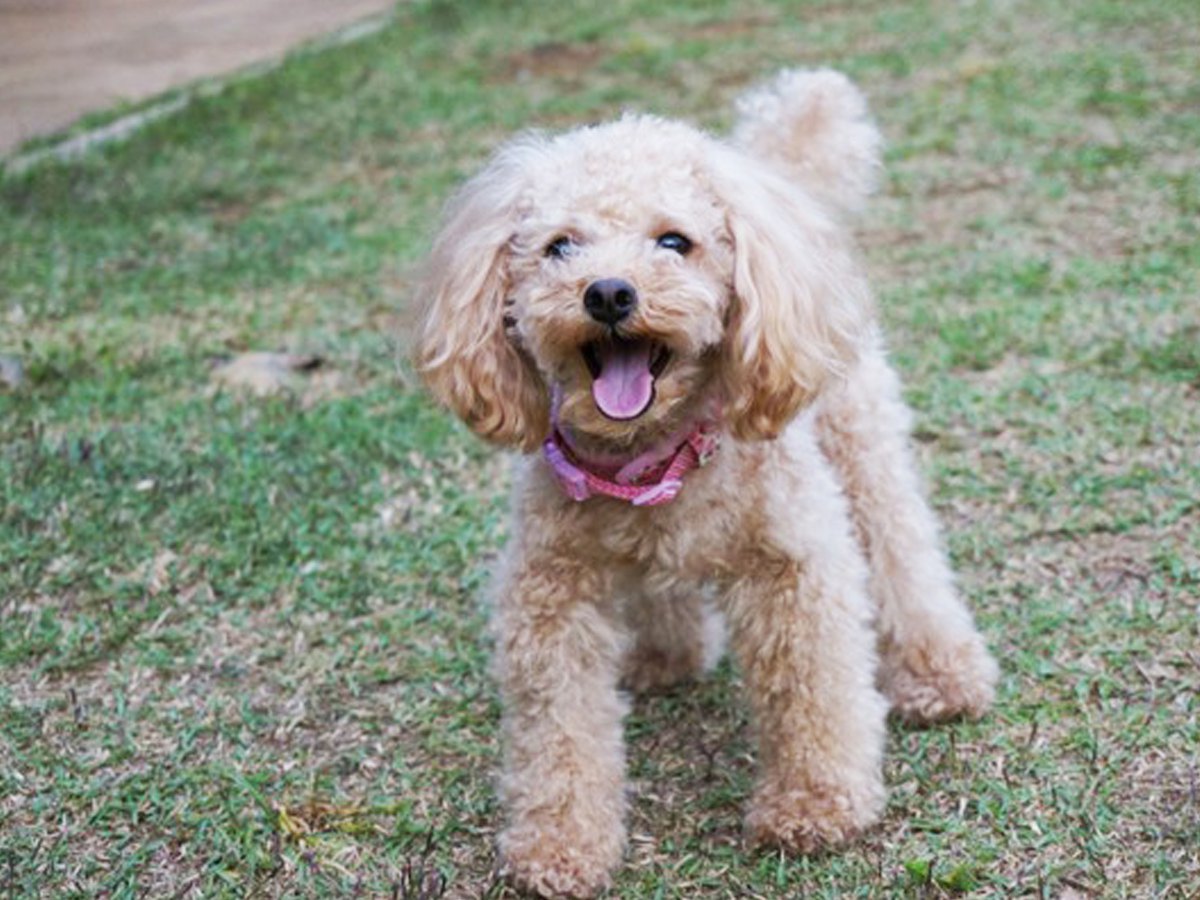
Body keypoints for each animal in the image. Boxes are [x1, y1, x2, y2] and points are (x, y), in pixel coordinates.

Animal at [417, 68, 998, 897]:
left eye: (674, 242)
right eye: (560, 247)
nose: (608, 293)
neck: (652, 457)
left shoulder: (794, 566)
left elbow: (813, 686)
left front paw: (814, 805)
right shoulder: (550, 591)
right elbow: (558, 729)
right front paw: (559, 846)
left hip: (860, 442)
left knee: (902, 548)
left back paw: (940, 675)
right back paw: (667, 654)